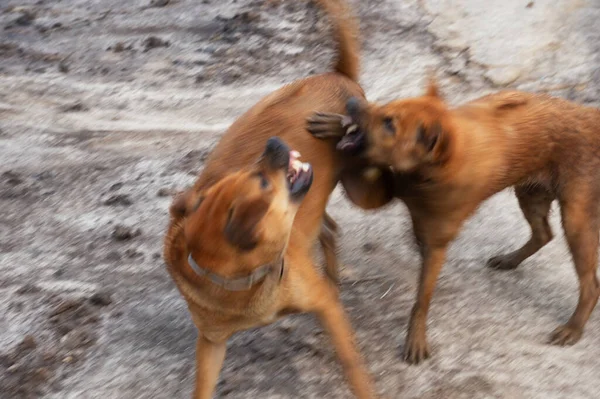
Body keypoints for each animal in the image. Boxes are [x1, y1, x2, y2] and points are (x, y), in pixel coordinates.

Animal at [162, 1, 394, 398]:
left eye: (248, 175)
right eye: (258, 179)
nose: (273, 144)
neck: (243, 280)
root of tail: (337, 75)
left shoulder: (324, 307)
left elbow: (354, 369)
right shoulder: (211, 342)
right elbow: (203, 386)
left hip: (358, 183)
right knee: (329, 229)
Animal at [310, 77, 600, 366]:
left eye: (390, 123)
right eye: (388, 107)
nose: (351, 102)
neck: (430, 173)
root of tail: (590, 116)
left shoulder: (435, 245)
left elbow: (421, 300)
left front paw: (416, 340)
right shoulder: (382, 193)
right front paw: (335, 123)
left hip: (576, 220)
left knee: (590, 284)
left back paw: (572, 328)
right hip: (531, 195)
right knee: (544, 234)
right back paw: (509, 260)